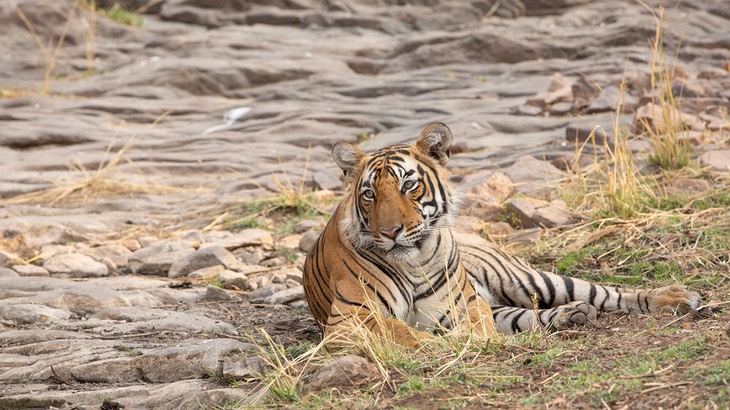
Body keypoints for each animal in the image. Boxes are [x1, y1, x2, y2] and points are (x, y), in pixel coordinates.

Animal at [302, 122, 700, 350]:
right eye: (369, 194)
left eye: (408, 185)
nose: (389, 232)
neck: (412, 261)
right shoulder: (349, 319)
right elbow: (402, 332)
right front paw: (445, 343)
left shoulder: (465, 304)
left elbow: (469, 328)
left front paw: (464, 340)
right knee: (532, 315)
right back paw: (572, 315)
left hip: (525, 278)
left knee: (605, 293)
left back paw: (676, 298)